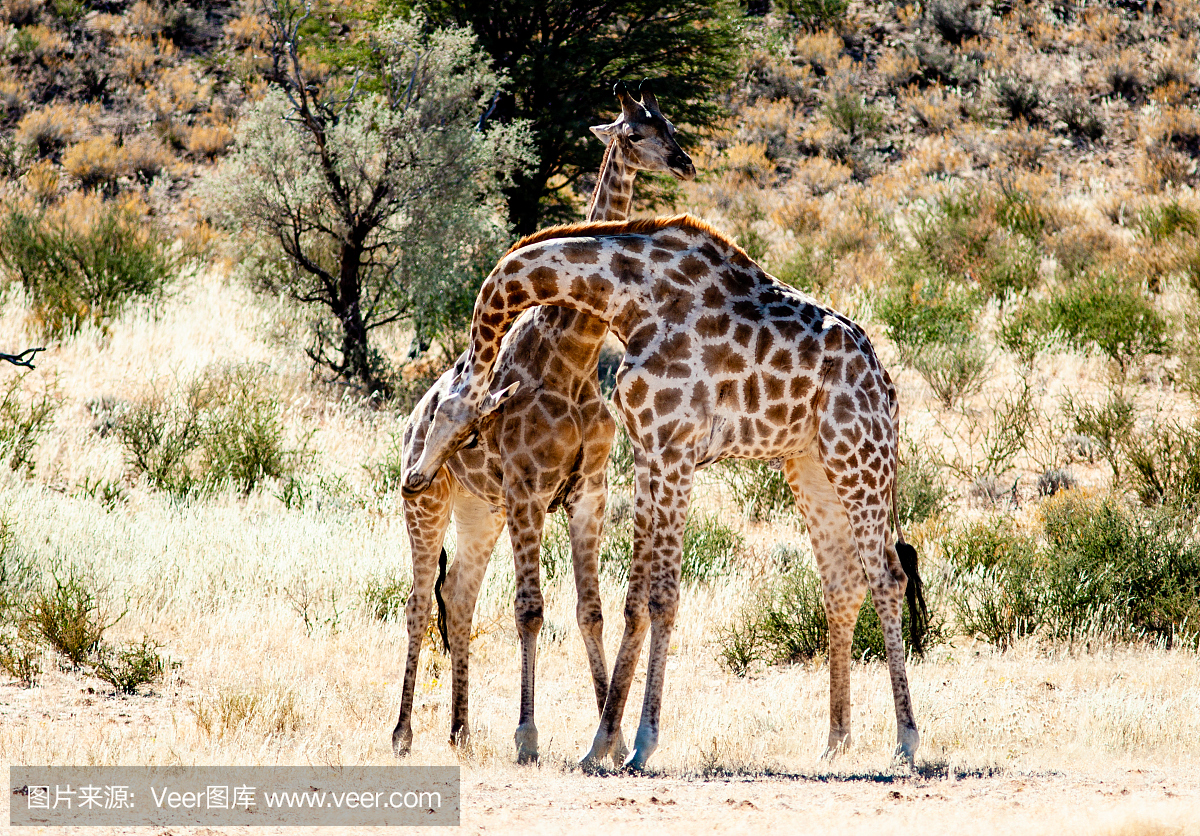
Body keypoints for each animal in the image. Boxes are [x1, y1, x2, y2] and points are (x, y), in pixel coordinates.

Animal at [393, 83, 696, 762]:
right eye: (633, 132)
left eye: (668, 122)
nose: (685, 162)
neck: (574, 353)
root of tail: (412, 420)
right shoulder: (530, 488)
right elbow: (529, 610)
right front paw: (528, 737)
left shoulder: (589, 491)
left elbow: (592, 610)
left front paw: (607, 735)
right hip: (431, 507)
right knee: (418, 603)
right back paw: (402, 734)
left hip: (481, 510)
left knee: (459, 599)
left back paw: (459, 731)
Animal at [403, 213, 926, 767]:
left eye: (465, 432)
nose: (414, 479)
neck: (630, 299)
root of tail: (885, 384)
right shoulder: (647, 451)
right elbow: (635, 601)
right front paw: (601, 744)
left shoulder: (674, 448)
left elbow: (663, 597)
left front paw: (642, 743)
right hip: (811, 468)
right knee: (842, 586)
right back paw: (836, 743)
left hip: (859, 456)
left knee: (888, 577)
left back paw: (905, 741)